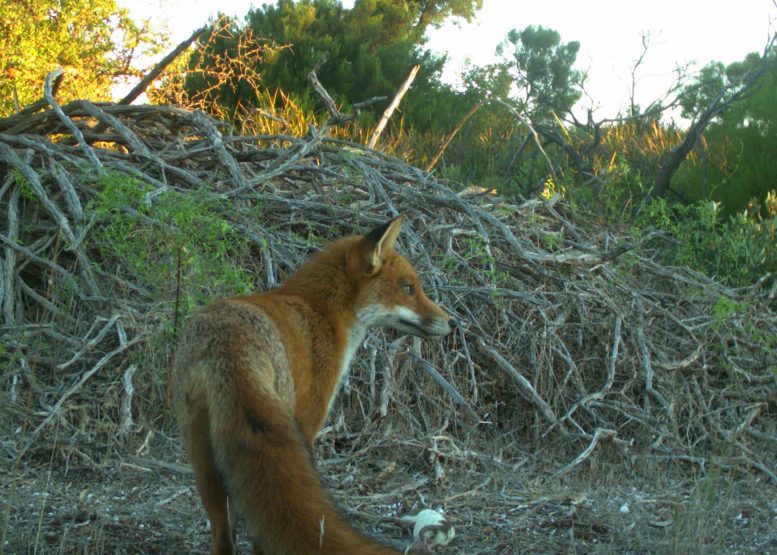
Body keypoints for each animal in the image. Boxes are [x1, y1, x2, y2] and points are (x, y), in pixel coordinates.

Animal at [173, 218, 452, 555]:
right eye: (408, 289)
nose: (451, 322)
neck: (320, 311)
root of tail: (228, 346)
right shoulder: (308, 422)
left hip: (202, 459)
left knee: (224, 535)